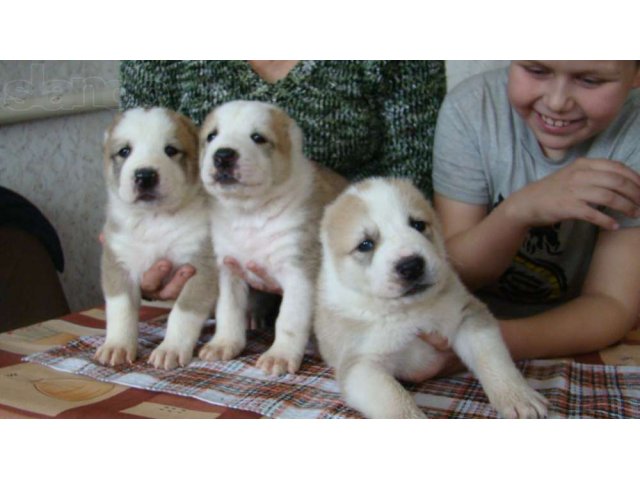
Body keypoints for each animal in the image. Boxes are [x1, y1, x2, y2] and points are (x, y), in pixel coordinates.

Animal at [95, 107, 219, 370]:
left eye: (170, 150)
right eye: (124, 151)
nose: (145, 175)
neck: (154, 219)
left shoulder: (202, 267)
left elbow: (183, 312)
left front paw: (170, 348)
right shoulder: (118, 262)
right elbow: (120, 308)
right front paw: (117, 346)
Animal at [200, 101, 350, 376]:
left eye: (258, 138)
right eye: (212, 136)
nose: (223, 155)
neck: (250, 213)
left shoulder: (299, 274)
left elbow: (288, 320)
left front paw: (279, 355)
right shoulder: (228, 270)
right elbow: (228, 310)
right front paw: (223, 343)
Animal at [312, 178, 548, 418]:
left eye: (418, 225)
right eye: (366, 244)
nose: (411, 266)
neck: (408, 310)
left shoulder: (467, 315)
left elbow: (492, 358)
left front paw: (518, 396)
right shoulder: (361, 364)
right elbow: (395, 400)